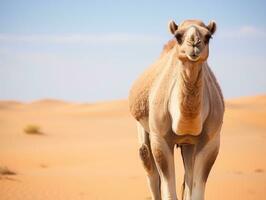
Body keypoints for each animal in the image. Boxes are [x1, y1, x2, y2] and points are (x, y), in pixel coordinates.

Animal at [129, 19, 224, 200]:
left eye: (208, 36)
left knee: (188, 174)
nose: (194, 43)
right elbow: (168, 190)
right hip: (143, 127)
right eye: (178, 36)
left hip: (189, 144)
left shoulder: (212, 141)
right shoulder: (160, 138)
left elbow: (196, 190)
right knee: (148, 164)